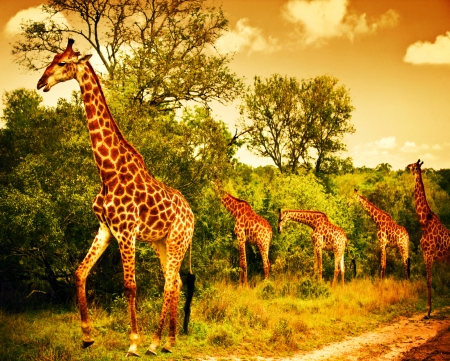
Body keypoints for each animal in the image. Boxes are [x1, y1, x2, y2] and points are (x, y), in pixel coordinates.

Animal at [37, 38, 195, 354]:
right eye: (52, 58)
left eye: (62, 63)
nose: (41, 82)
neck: (108, 171)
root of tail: (193, 214)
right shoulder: (105, 229)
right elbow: (79, 273)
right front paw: (87, 336)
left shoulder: (126, 231)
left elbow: (130, 286)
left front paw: (133, 342)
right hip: (162, 242)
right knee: (175, 283)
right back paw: (169, 341)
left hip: (177, 240)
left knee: (169, 284)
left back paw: (154, 343)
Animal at [408, 159, 450, 316]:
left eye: (413, 165)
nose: (406, 166)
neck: (424, 222)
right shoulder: (426, 255)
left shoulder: (429, 254)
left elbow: (428, 281)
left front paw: (428, 312)